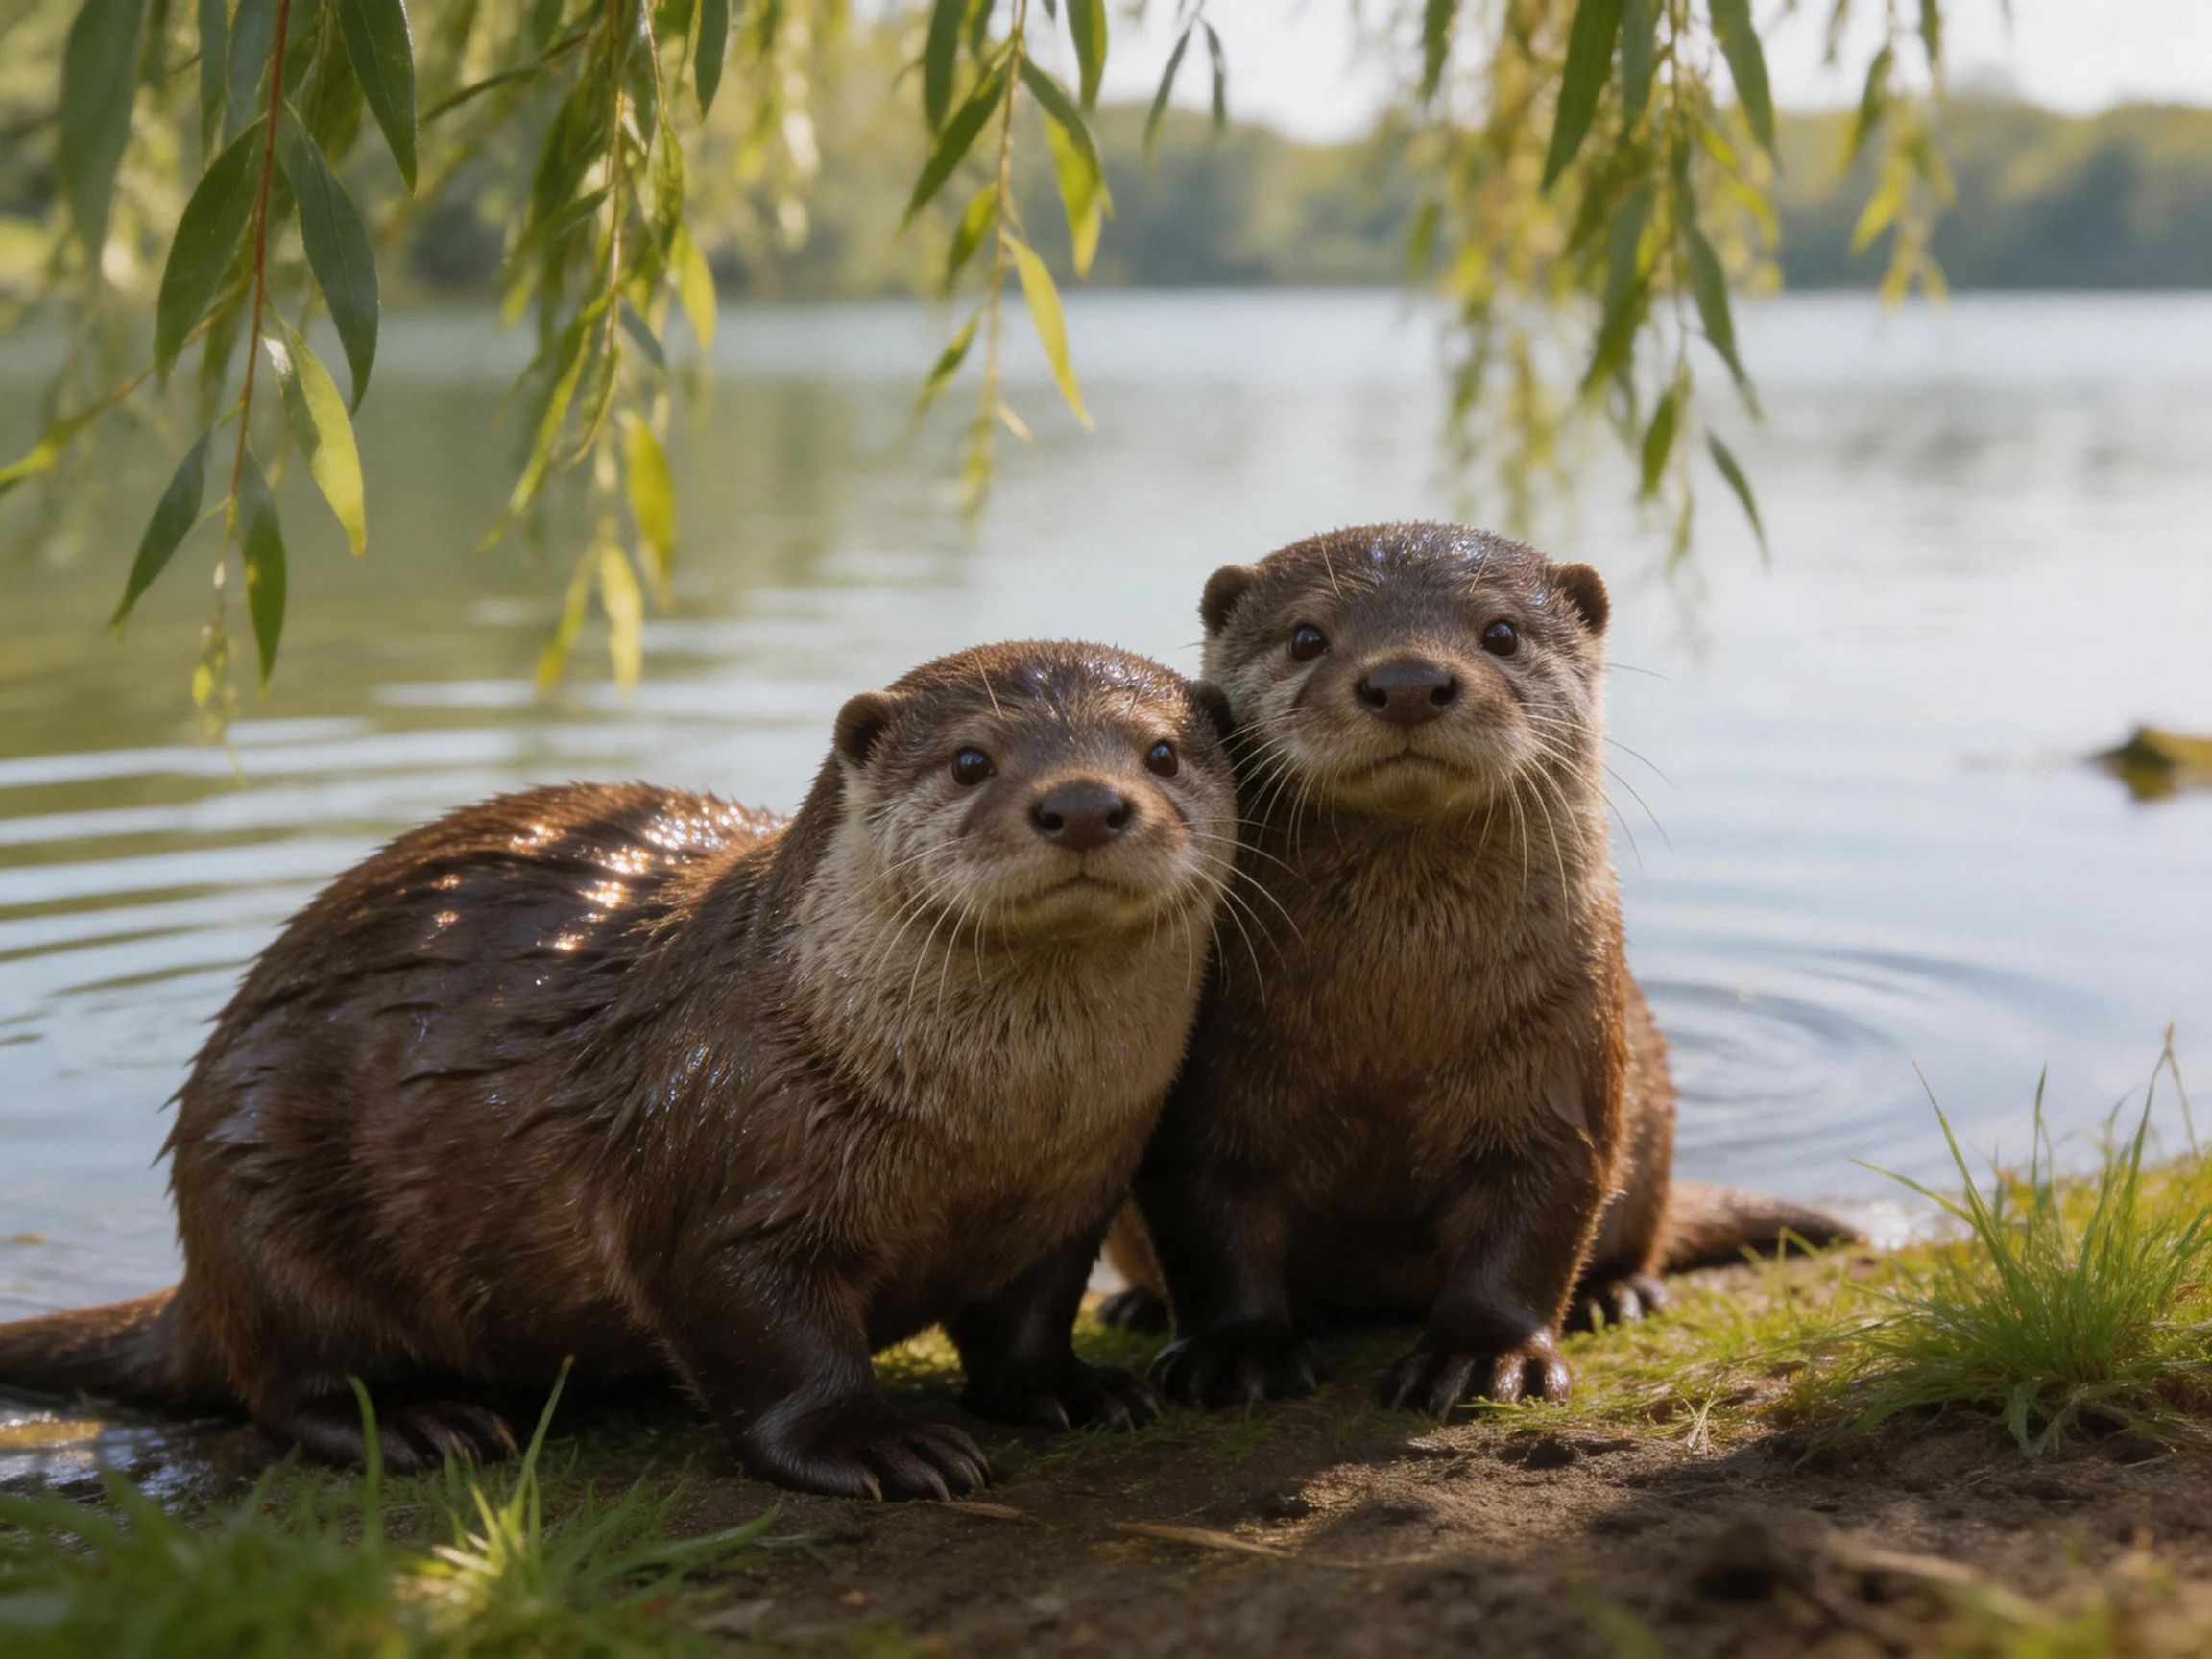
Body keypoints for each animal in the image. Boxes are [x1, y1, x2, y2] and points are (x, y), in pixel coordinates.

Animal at [0, 642, 1238, 1498]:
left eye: (1162, 753)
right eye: (972, 759)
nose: (1082, 803)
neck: (987, 1128)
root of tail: (197, 1274)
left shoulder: (1072, 1192)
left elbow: (1029, 1321)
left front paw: (1077, 1390)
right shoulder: (725, 1198)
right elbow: (778, 1351)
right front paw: (882, 1445)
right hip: (260, 1178)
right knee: (285, 1383)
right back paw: (425, 1425)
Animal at [1109, 524, 1849, 1414]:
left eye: (1500, 632)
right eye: (1306, 636)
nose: (1407, 680)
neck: (1387, 1019)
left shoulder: (1559, 1063)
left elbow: (1533, 1218)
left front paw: (1479, 1357)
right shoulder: (1206, 1094)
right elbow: (1209, 1224)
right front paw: (1236, 1355)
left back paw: (1619, 1293)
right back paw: (1135, 1304)